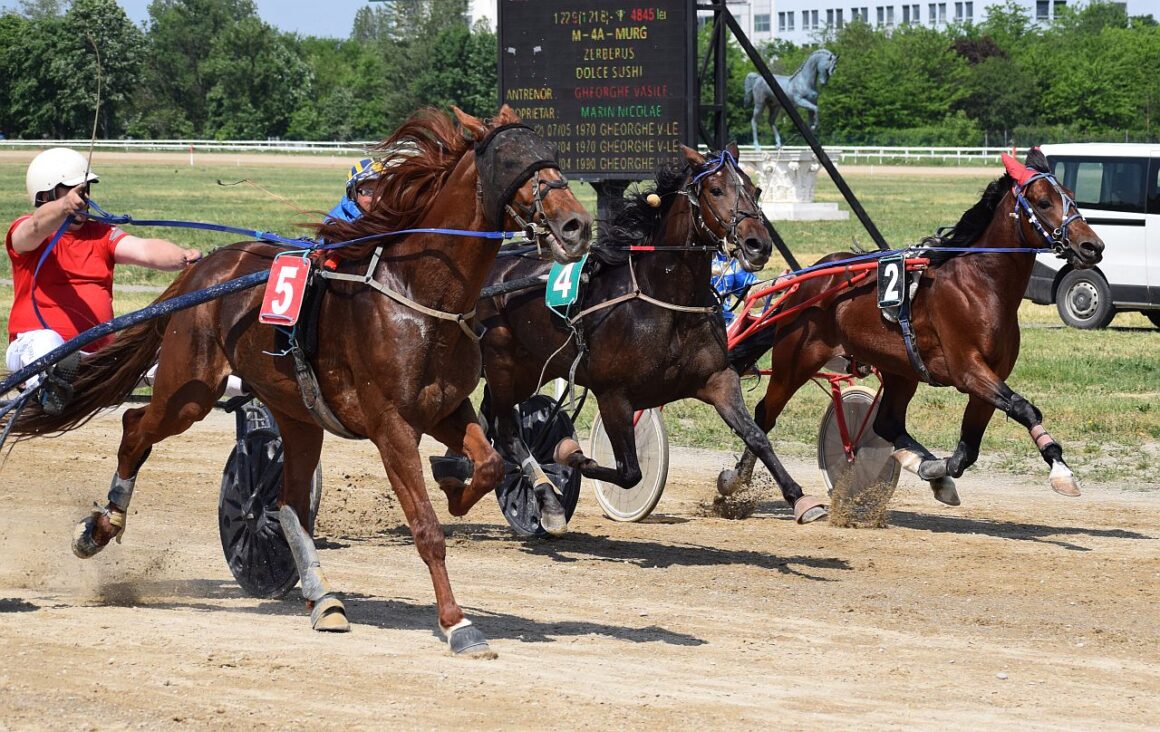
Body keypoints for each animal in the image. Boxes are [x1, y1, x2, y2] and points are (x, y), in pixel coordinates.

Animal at [6, 104, 589, 658]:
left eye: (550, 154)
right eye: (513, 162)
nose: (577, 226)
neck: (416, 296)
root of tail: (206, 268)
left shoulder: (445, 409)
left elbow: (488, 463)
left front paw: (457, 486)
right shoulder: (391, 427)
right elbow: (426, 528)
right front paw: (456, 624)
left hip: (295, 411)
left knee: (286, 502)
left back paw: (323, 597)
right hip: (188, 389)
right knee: (134, 427)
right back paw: (99, 527)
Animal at [475, 144, 830, 533]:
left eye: (756, 189)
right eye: (715, 190)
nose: (757, 245)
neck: (665, 300)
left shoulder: (718, 378)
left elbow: (756, 435)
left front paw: (800, 498)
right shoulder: (613, 394)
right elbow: (629, 471)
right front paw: (569, 454)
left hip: (530, 367)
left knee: (495, 418)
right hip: (503, 363)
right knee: (507, 431)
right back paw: (545, 498)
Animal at [723, 148, 1104, 503]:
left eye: (1071, 195)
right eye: (1044, 201)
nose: (1093, 245)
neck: (981, 284)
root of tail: (804, 280)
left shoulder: (990, 377)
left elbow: (969, 450)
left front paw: (935, 470)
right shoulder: (968, 370)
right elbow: (1025, 408)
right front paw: (1061, 470)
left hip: (900, 369)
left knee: (887, 422)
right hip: (797, 358)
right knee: (764, 415)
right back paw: (736, 481)